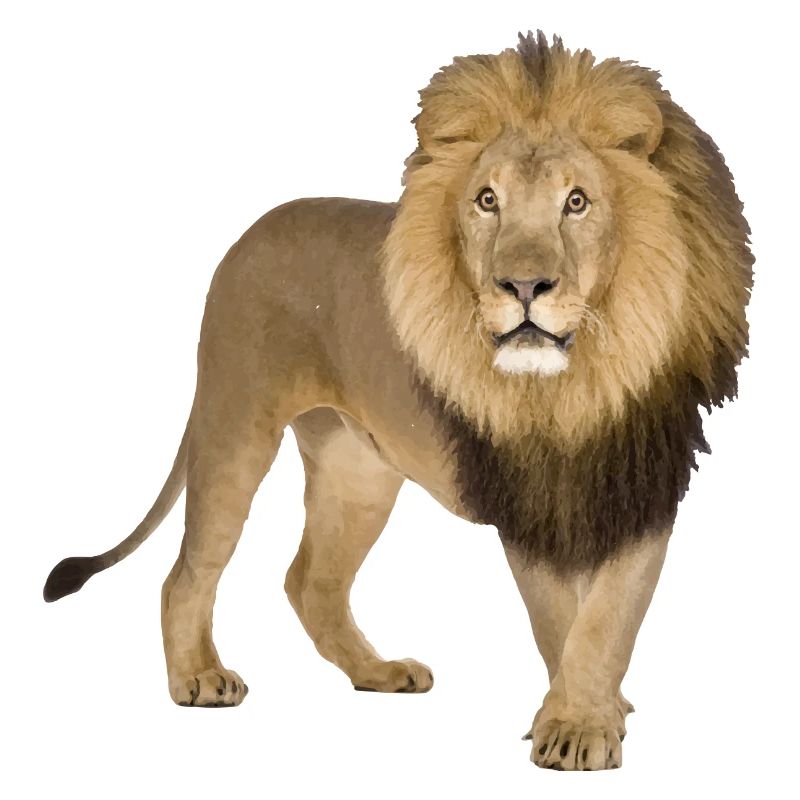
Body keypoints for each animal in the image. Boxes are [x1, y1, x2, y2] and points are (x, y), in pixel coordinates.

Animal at [43, 32, 752, 771]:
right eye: (488, 200)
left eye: (578, 202)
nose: (523, 285)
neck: (575, 383)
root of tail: (250, 233)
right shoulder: (522, 501)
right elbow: (560, 621)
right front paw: (575, 726)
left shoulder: (641, 488)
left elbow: (609, 619)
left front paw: (591, 716)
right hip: (236, 424)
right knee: (188, 570)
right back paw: (199, 678)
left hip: (358, 469)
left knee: (311, 582)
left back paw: (377, 673)